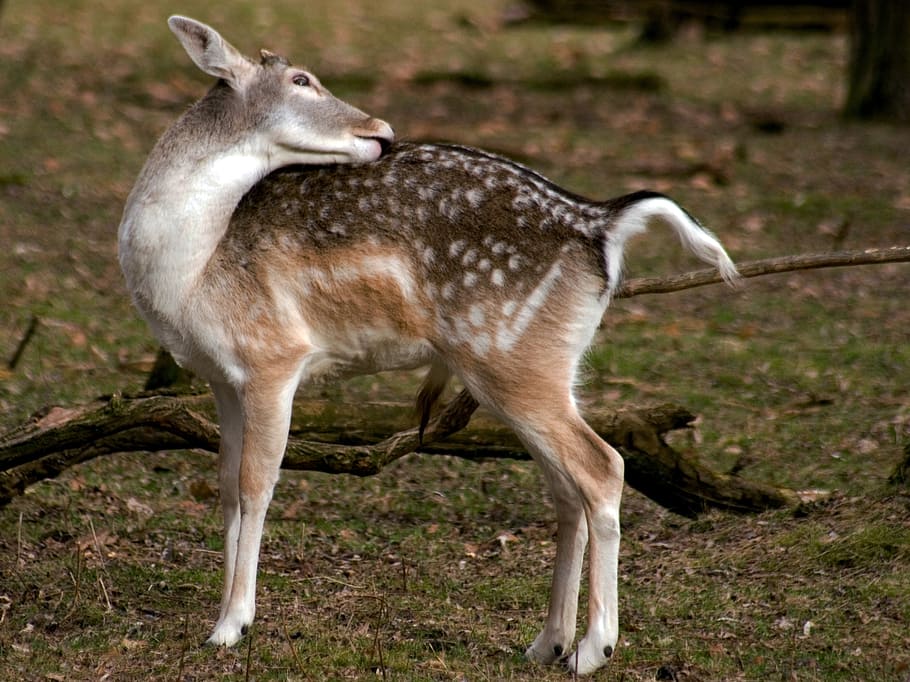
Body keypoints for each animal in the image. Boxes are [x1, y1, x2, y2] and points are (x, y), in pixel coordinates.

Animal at [118, 15, 738, 676]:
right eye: (301, 79)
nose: (381, 130)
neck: (192, 274)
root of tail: (604, 226)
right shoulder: (222, 378)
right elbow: (227, 489)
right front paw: (223, 617)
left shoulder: (275, 356)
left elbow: (257, 485)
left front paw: (232, 625)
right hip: (543, 362)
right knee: (564, 488)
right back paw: (547, 642)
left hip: (510, 357)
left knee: (603, 466)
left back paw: (594, 649)